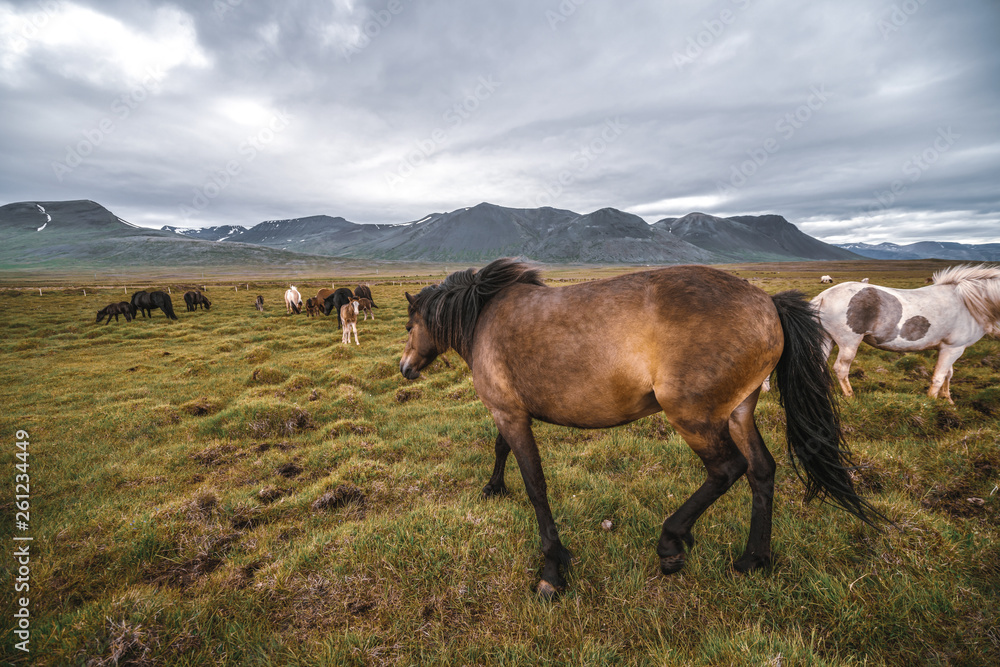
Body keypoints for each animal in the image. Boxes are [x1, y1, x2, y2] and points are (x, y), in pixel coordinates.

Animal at [402, 258, 880, 596]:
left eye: (410, 325)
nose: (405, 368)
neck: (483, 317)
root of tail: (769, 304)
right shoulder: (510, 411)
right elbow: (502, 449)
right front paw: (494, 487)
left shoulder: (510, 413)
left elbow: (536, 486)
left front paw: (553, 570)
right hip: (739, 410)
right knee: (762, 471)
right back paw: (753, 560)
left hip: (693, 416)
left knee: (727, 469)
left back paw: (671, 544)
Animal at [812, 264, 1000, 402]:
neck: (966, 302)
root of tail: (824, 296)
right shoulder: (953, 348)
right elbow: (939, 377)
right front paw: (932, 403)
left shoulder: (949, 348)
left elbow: (948, 374)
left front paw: (947, 400)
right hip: (849, 344)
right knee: (841, 369)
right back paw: (851, 397)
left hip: (827, 340)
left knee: (820, 365)